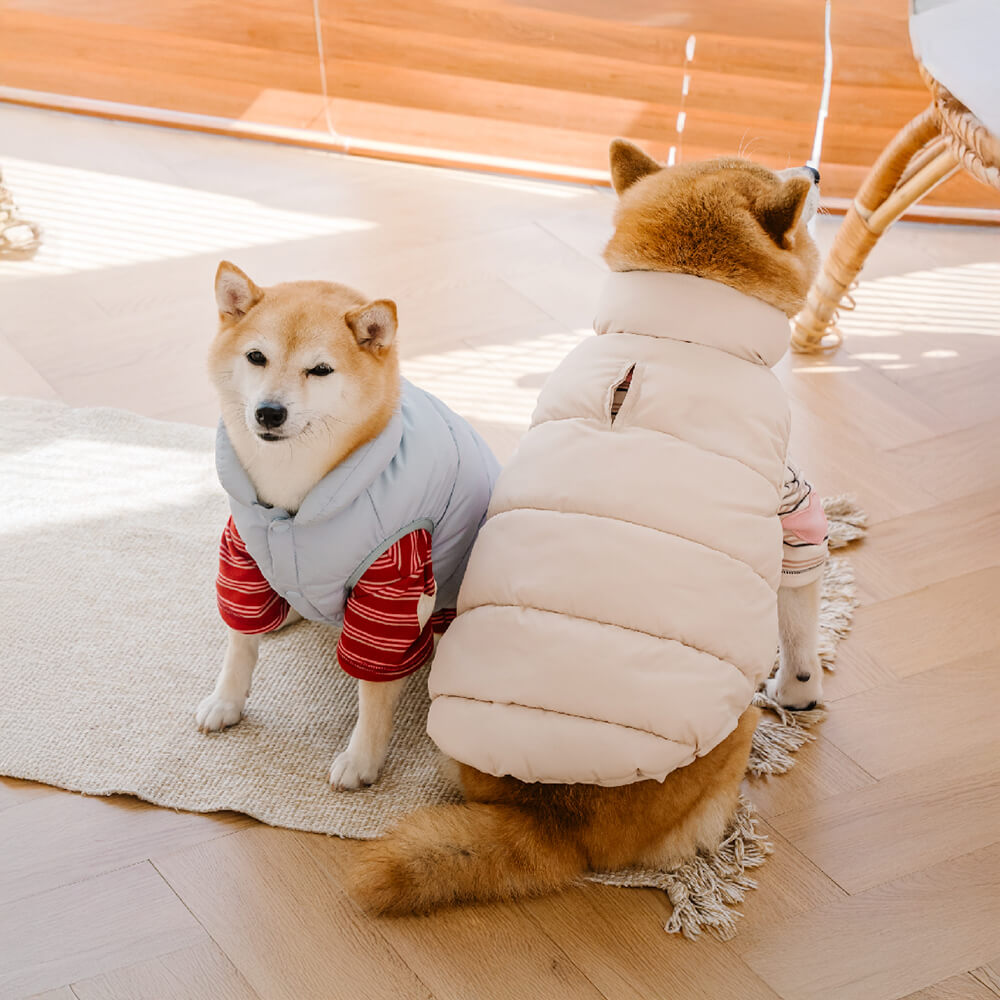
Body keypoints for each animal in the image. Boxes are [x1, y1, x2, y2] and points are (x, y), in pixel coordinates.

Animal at [197, 266, 500, 788]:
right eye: (256, 357)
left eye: (320, 370)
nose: (269, 412)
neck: (294, 499)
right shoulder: (243, 549)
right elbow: (239, 643)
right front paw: (226, 701)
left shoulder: (394, 581)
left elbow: (373, 692)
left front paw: (362, 760)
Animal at [350, 139, 828, 916]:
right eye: (783, 182)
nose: (815, 170)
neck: (672, 325)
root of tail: (549, 816)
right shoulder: (791, 510)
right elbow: (801, 621)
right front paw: (802, 690)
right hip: (730, 730)